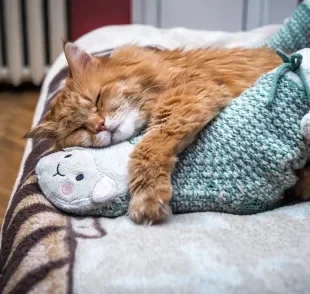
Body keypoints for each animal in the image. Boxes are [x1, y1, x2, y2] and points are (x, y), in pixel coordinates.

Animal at [26, 43, 308, 223]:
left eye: (97, 99)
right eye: (79, 128)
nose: (100, 126)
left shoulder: (189, 94)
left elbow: (147, 147)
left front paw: (146, 198)